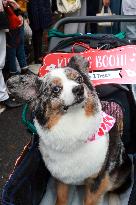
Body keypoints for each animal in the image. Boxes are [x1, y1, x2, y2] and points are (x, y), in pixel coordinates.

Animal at [7, 55, 132, 204]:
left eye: (79, 79)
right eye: (56, 89)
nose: (79, 89)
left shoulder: (97, 180)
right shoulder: (61, 178)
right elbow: (61, 198)